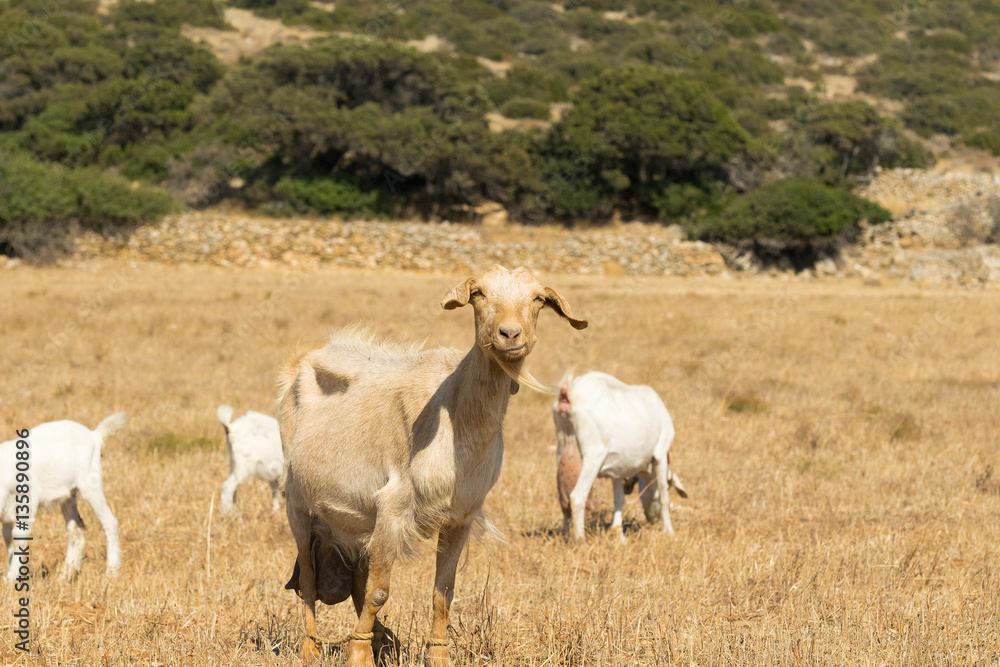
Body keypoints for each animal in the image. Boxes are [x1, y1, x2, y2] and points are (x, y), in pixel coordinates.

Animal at [0, 414, 128, 580]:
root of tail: (94, 435)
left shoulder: (28, 499)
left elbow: (17, 536)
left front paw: (11, 578)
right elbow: (8, 537)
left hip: (90, 483)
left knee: (109, 521)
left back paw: (111, 572)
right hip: (68, 495)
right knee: (76, 530)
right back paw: (64, 577)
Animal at [278, 266, 584, 667]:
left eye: (538, 300)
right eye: (480, 294)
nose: (510, 334)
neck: (456, 413)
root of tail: (300, 363)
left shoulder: (459, 518)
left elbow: (444, 590)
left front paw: (436, 654)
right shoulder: (392, 508)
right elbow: (379, 592)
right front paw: (358, 653)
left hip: (355, 520)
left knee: (355, 576)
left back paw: (382, 639)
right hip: (297, 502)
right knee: (310, 577)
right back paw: (311, 647)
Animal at [556, 374, 688, 544]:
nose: (653, 518)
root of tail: (568, 393)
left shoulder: (617, 470)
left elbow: (619, 499)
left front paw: (619, 536)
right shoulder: (661, 453)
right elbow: (664, 495)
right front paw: (669, 532)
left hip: (561, 449)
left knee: (563, 500)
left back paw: (566, 535)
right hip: (593, 457)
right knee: (577, 496)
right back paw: (581, 540)